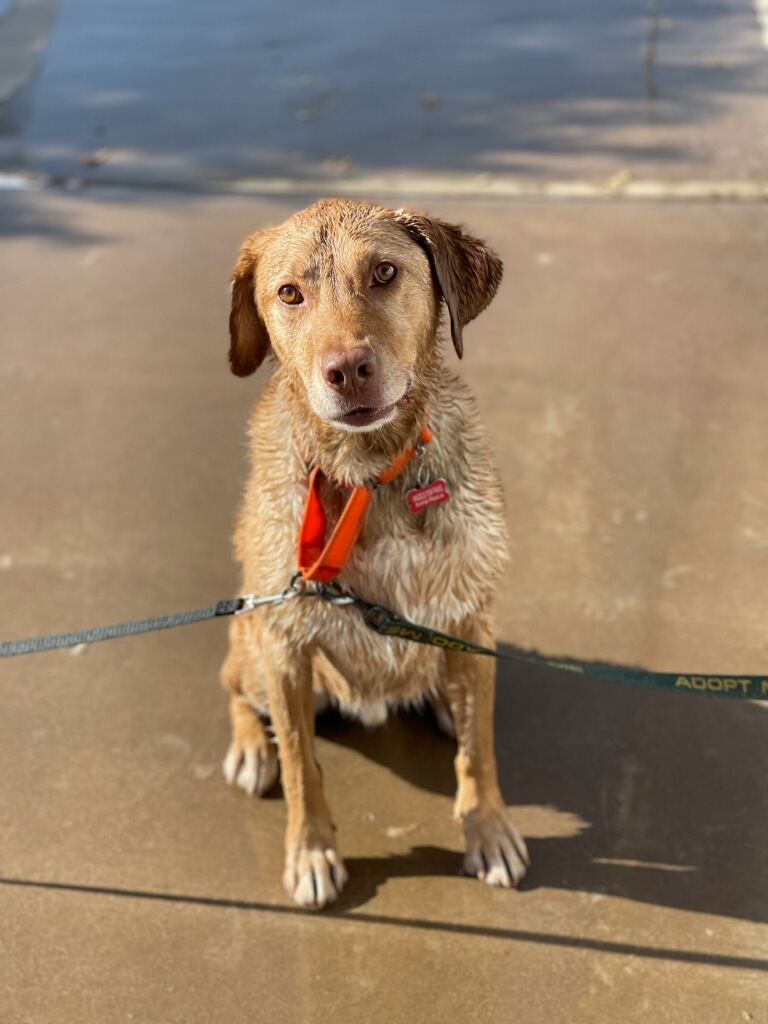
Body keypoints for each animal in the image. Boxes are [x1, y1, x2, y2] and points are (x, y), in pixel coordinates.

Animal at [219, 203, 528, 909]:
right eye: (289, 294)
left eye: (385, 272)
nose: (348, 369)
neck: (368, 479)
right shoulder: (284, 645)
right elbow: (302, 765)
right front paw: (310, 851)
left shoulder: (473, 617)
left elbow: (481, 749)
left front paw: (489, 829)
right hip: (254, 642)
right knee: (231, 682)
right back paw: (252, 746)